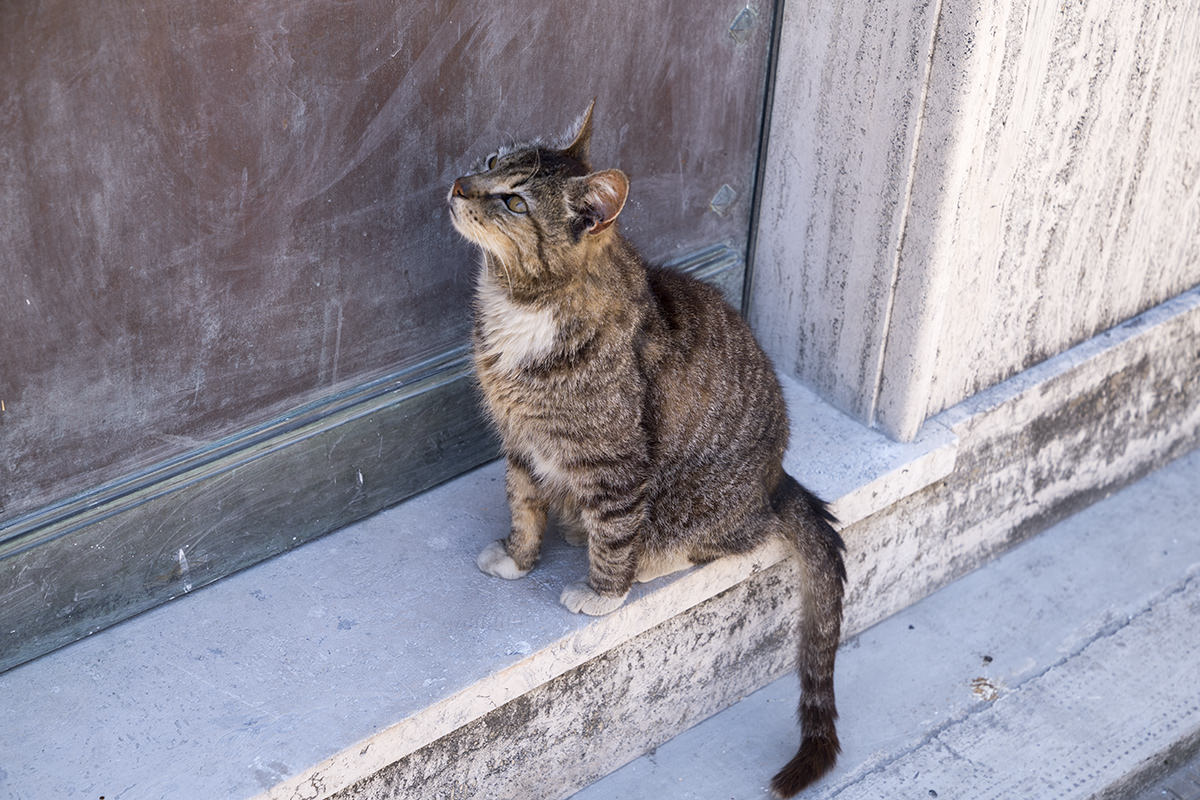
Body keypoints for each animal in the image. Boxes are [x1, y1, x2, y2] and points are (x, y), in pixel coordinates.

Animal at [446, 103, 849, 796]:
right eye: (493, 161)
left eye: (515, 202)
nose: (458, 184)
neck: (520, 304)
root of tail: (779, 480)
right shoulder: (520, 443)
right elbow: (523, 506)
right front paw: (518, 558)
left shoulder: (613, 466)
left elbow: (613, 534)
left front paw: (602, 595)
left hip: (700, 505)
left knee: (724, 539)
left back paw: (651, 561)